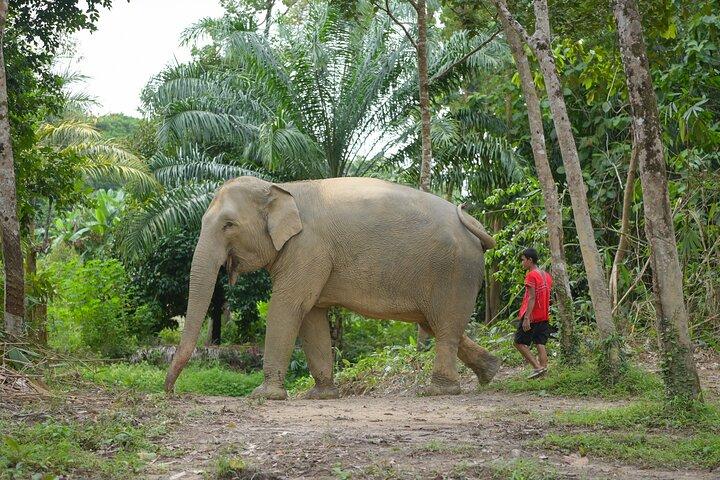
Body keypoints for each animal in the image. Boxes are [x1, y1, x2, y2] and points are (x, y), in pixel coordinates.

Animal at [164, 176, 501, 400]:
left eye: (228, 225)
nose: (171, 392)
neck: (281, 187)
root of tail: (474, 226)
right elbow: (312, 316)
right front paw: (321, 395)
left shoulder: (308, 248)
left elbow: (288, 306)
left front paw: (264, 395)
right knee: (437, 324)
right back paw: (490, 373)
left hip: (453, 272)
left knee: (444, 327)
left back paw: (439, 391)